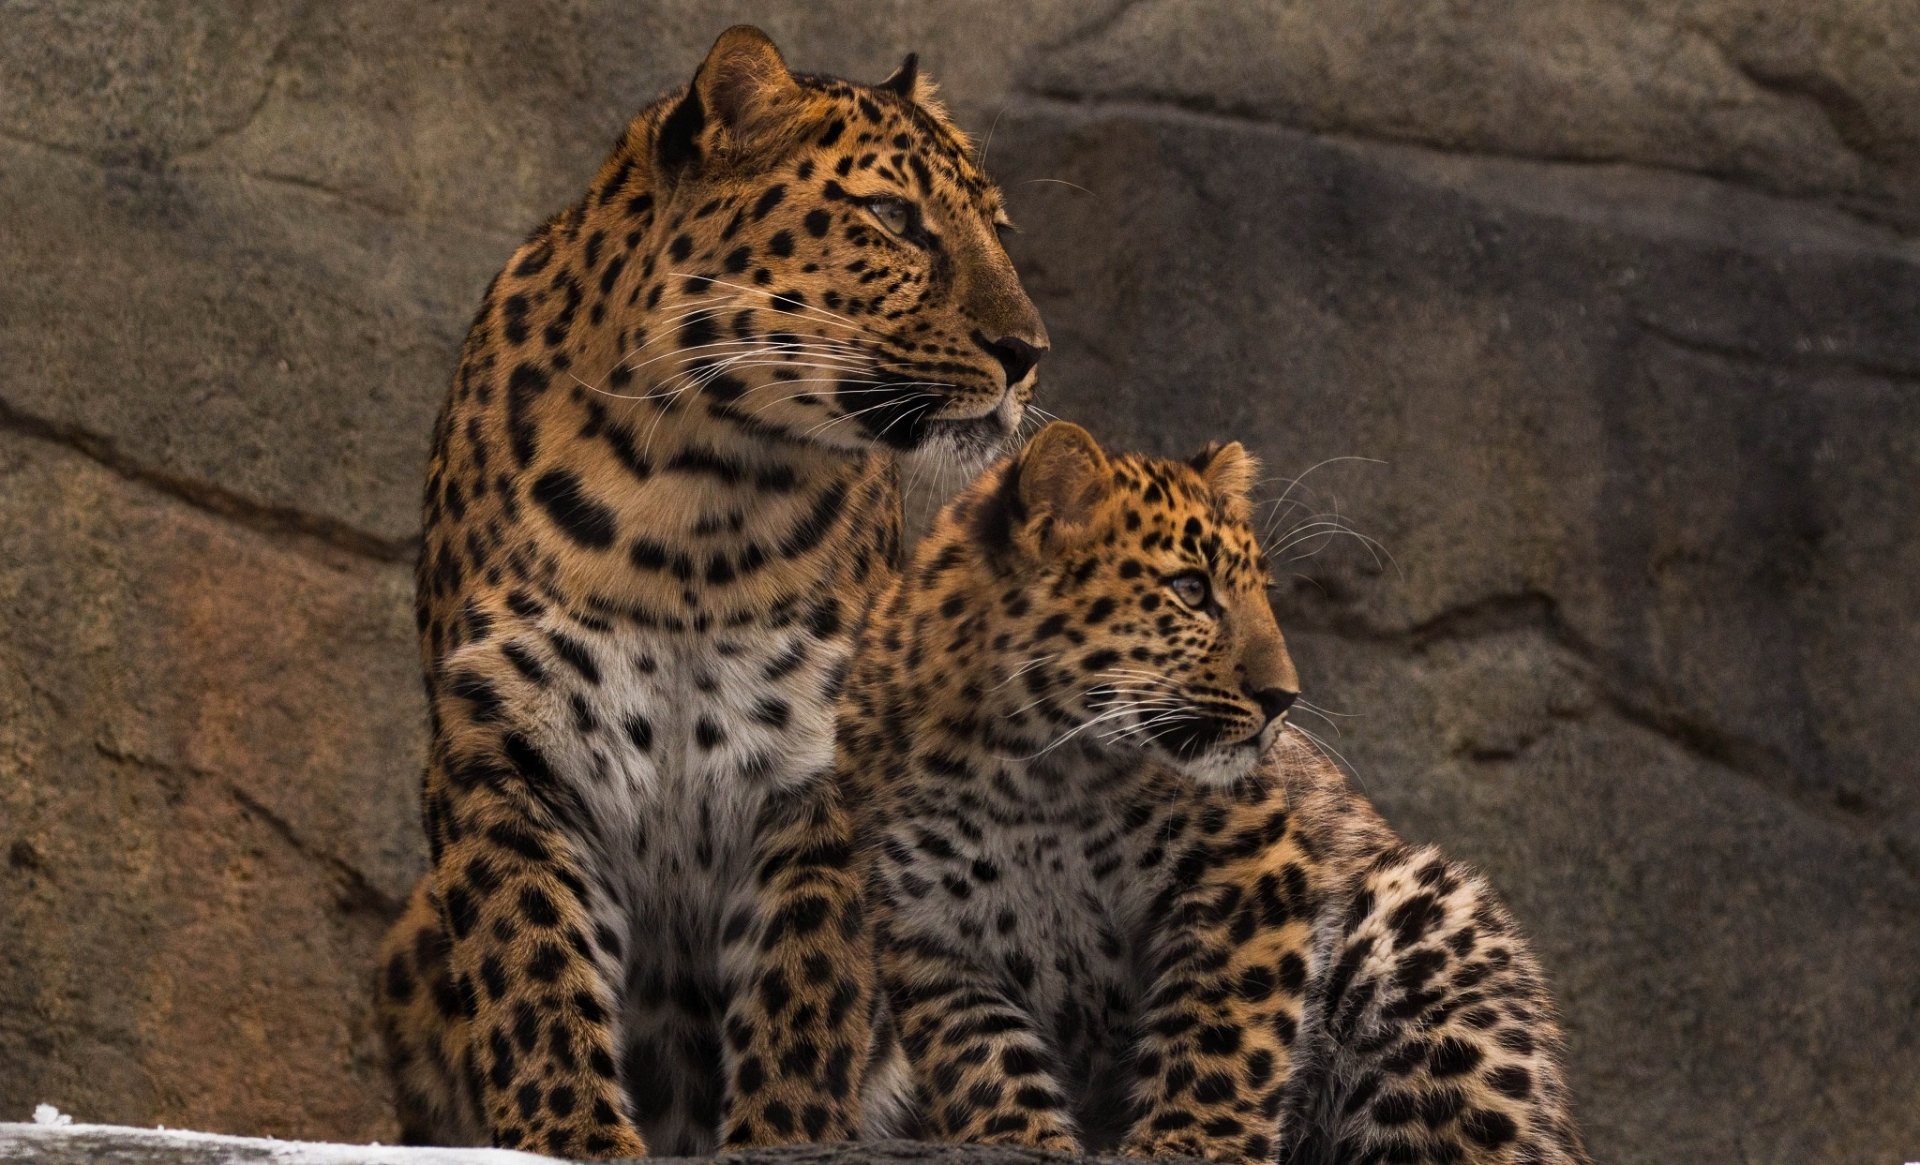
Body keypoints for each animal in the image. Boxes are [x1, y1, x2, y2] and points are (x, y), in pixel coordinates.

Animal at [371, 26, 1046, 1159]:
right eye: (893, 217)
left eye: (999, 230)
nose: (1028, 353)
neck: (699, 493)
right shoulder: (504, 738)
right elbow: (533, 966)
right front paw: (569, 1133)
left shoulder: (818, 768)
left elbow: (808, 991)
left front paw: (789, 1136)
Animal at [838, 421, 1589, 1165]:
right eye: (1191, 590)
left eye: (1262, 591)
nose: (1284, 698)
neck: (1029, 774)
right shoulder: (926, 927)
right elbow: (979, 1053)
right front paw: (1017, 1138)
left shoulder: (1252, 874)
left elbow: (1222, 1024)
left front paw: (1189, 1141)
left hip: (1424, 917)